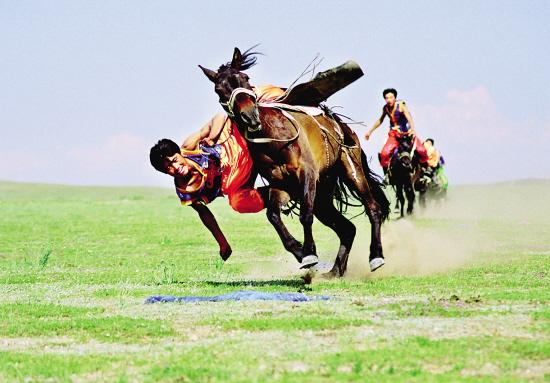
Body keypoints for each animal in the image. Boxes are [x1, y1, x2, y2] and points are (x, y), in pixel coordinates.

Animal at [201, 48, 390, 276]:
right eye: (219, 90)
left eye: (245, 78)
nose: (250, 116)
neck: (274, 139)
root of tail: (342, 125)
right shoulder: (281, 185)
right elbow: (273, 215)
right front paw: (299, 251)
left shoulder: (307, 175)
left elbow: (305, 216)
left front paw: (308, 253)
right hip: (323, 197)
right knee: (347, 228)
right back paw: (335, 271)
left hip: (351, 172)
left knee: (373, 208)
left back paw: (376, 256)